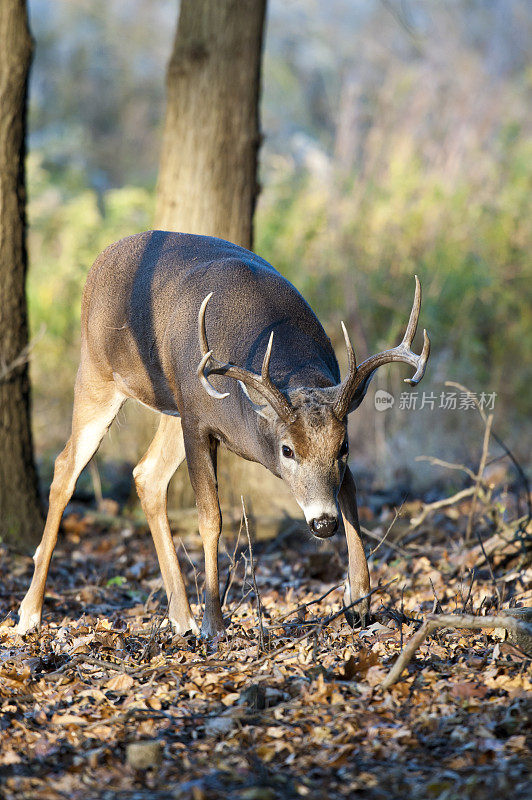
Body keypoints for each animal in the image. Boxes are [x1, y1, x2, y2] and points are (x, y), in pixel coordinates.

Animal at [18, 230, 430, 636]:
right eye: (286, 450)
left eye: (343, 447)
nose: (322, 523)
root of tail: (103, 257)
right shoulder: (198, 421)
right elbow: (210, 518)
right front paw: (214, 624)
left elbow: (350, 494)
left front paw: (358, 601)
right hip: (97, 372)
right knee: (65, 468)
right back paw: (30, 613)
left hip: (172, 403)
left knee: (147, 474)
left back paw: (181, 617)